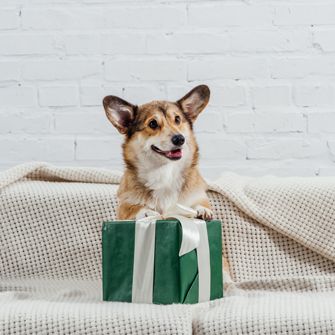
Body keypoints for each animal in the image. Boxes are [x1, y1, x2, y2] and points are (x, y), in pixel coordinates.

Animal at [102, 85, 214, 222]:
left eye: (177, 119)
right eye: (153, 123)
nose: (180, 139)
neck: (165, 171)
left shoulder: (198, 195)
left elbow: (200, 203)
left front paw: (201, 209)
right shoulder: (123, 206)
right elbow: (133, 207)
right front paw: (146, 211)